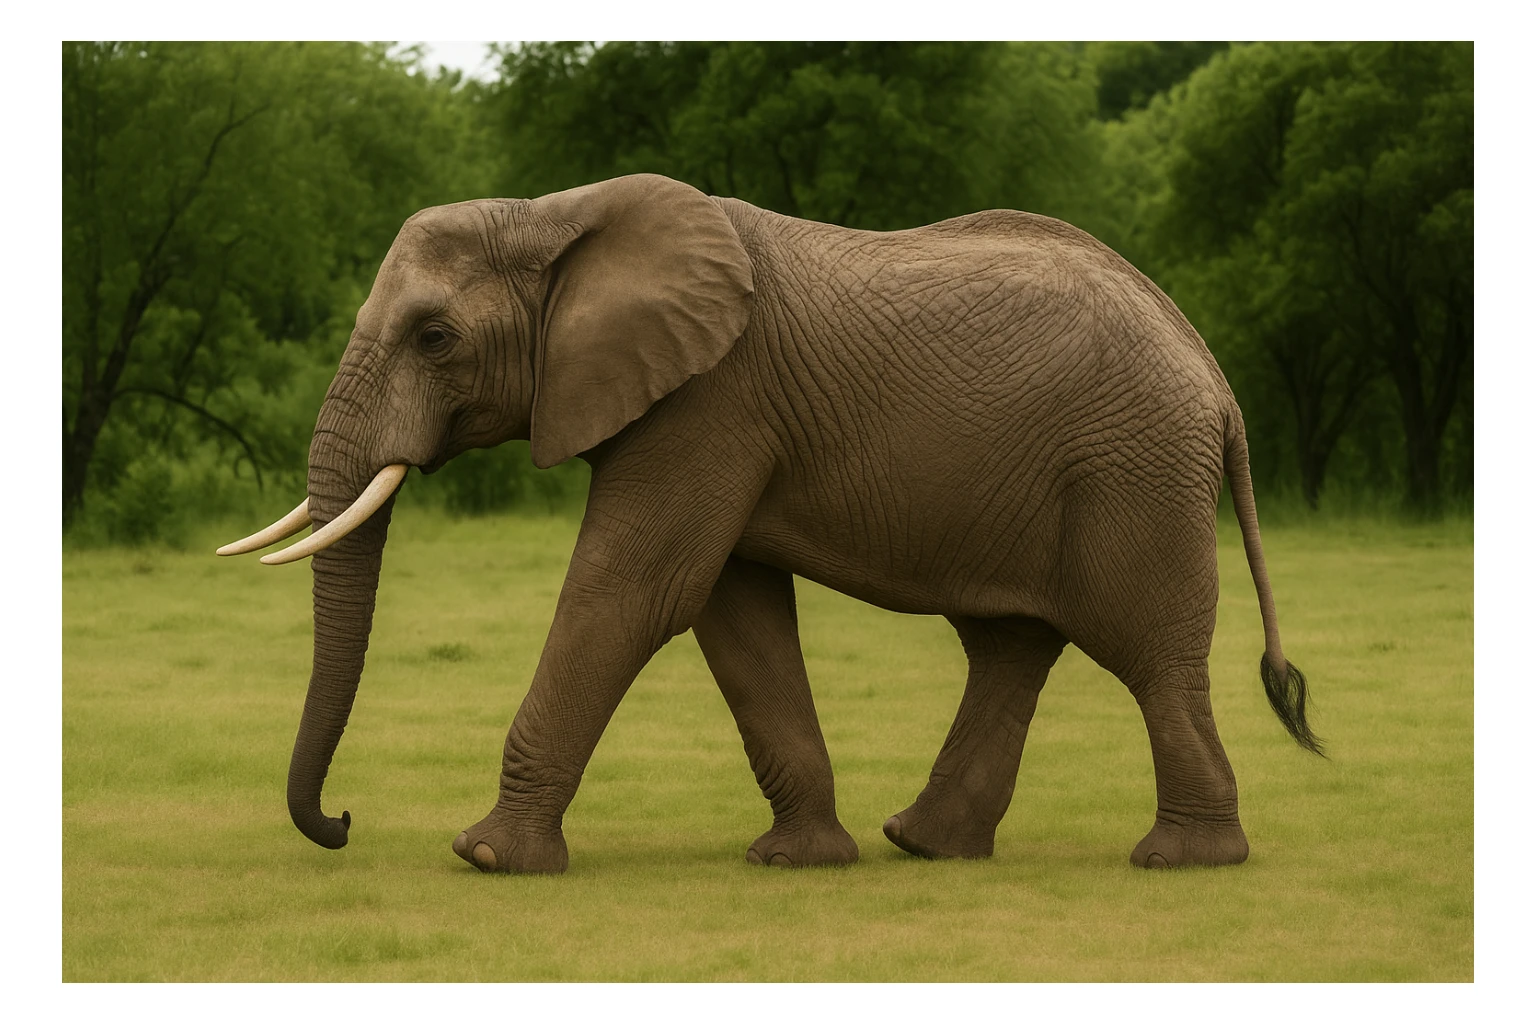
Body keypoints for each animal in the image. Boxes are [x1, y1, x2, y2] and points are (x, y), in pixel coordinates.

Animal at [218, 173, 1322, 875]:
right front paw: (799, 861)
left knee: (1146, 654)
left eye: (436, 337)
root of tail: (1215, 377)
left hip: (1133, 474)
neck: (554, 212)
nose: (344, 821)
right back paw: (922, 844)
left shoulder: (711, 400)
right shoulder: (717, 418)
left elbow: (634, 592)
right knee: (1011, 647)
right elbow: (733, 614)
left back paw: (1182, 860)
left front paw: (486, 856)